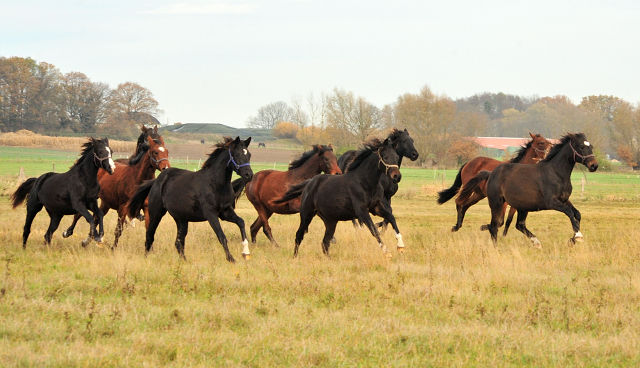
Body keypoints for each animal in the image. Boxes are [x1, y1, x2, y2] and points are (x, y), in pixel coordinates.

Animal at [126, 136, 254, 262]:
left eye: (249, 155)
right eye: (237, 154)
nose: (249, 175)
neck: (216, 184)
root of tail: (157, 181)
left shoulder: (225, 212)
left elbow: (241, 222)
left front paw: (246, 252)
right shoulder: (211, 214)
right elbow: (221, 236)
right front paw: (231, 259)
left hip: (181, 219)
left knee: (178, 242)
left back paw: (184, 261)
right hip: (156, 213)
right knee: (150, 236)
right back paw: (146, 258)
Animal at [274, 139, 402, 258]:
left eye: (396, 157)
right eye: (385, 157)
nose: (397, 176)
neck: (365, 182)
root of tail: (309, 183)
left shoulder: (376, 207)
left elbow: (391, 218)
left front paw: (400, 246)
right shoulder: (362, 211)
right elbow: (374, 230)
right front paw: (386, 252)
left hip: (331, 221)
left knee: (325, 242)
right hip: (307, 215)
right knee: (299, 236)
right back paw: (295, 257)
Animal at [462, 133, 596, 247]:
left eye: (591, 146)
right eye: (581, 146)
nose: (594, 165)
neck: (556, 173)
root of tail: (491, 173)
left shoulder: (564, 200)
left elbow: (577, 214)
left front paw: (572, 239)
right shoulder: (552, 202)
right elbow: (569, 212)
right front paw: (578, 236)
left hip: (522, 206)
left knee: (519, 225)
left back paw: (536, 242)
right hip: (497, 203)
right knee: (494, 226)